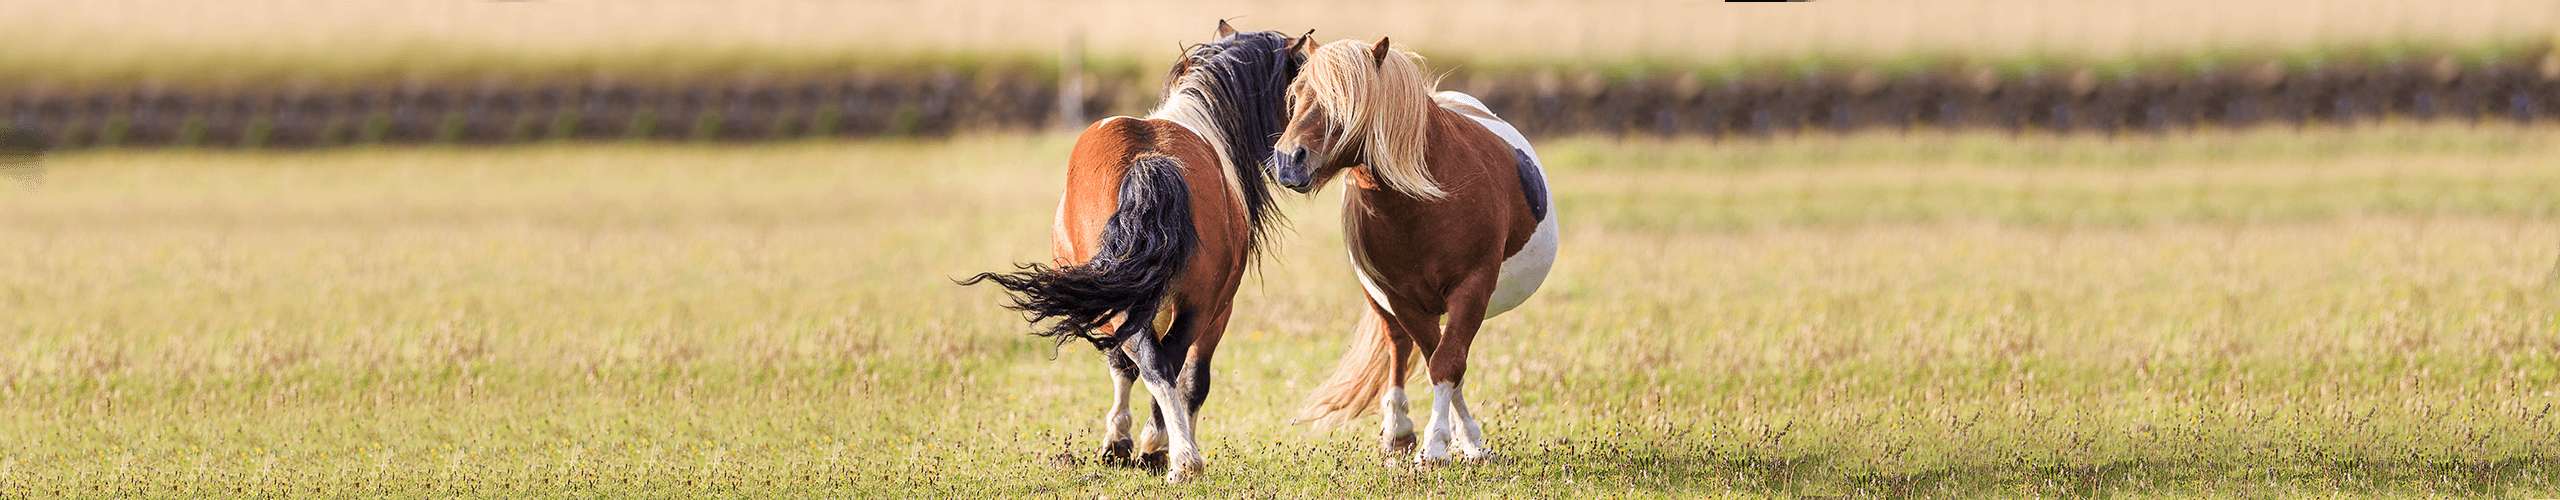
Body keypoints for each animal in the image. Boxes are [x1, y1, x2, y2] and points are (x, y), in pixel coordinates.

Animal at [962, 21, 1310, 482]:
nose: (1298, 159)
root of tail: (1148, 161)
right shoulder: (1215, 307)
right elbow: (1181, 378)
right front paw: (1131, 443)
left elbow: (1141, 368)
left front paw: (1122, 442)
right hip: (1191, 305)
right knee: (1165, 365)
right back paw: (1174, 454)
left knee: (1157, 364)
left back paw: (1171, 453)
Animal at [1264, 37, 1556, 466]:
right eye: (1297, 94)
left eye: (1344, 102)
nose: (1287, 161)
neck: (1425, 203)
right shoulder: (1401, 297)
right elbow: (1435, 358)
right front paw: (1441, 441)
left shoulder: (1473, 288)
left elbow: (1447, 363)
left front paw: (1444, 445)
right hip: (1382, 300)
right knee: (1398, 347)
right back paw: (1399, 432)